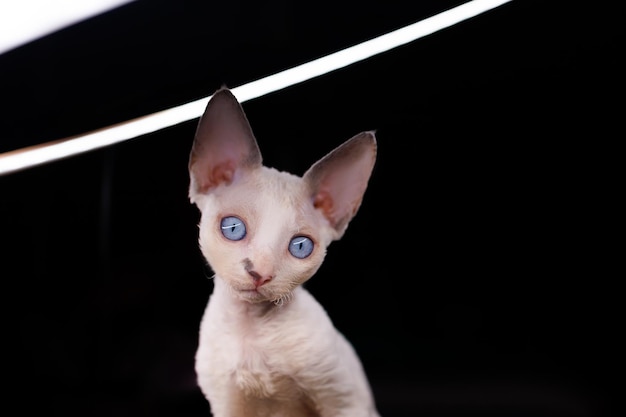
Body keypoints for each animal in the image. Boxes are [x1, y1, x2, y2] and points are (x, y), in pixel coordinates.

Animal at [188, 86, 378, 414]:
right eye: (233, 228)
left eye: (300, 246)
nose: (260, 273)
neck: (252, 330)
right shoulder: (226, 404)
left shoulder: (343, 400)